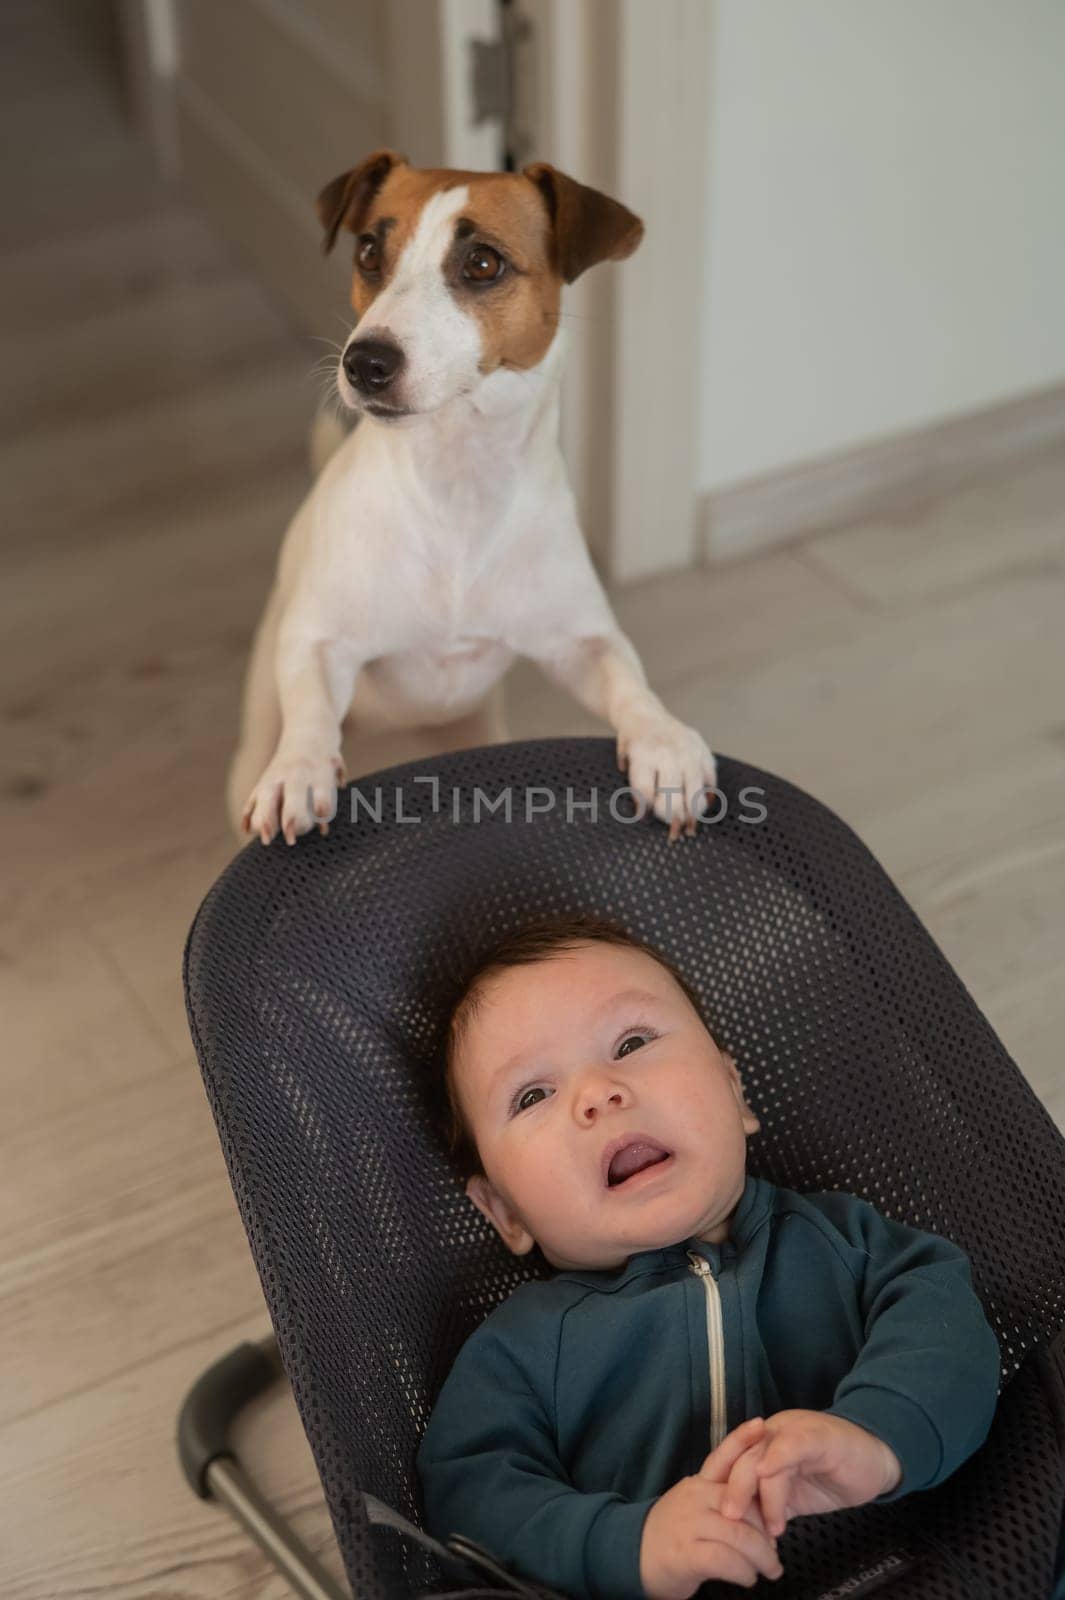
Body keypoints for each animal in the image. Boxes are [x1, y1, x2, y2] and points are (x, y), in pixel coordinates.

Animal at [228, 151, 716, 851]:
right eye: (369, 251)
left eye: (483, 263)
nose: (364, 363)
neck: (457, 485)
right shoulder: (317, 642)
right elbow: (313, 707)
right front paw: (299, 769)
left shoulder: (580, 643)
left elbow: (629, 678)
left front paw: (665, 742)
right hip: (256, 721)